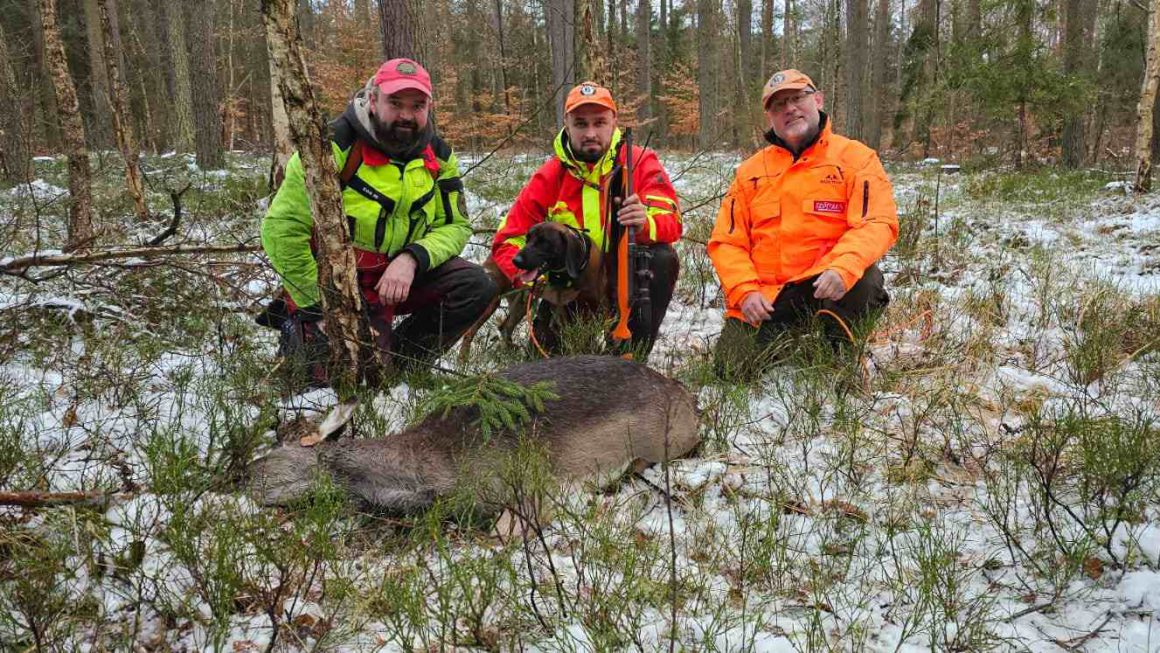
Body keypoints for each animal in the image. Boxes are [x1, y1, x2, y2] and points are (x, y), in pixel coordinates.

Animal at [457, 222, 603, 359]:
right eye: (527, 239)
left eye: (544, 242)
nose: (515, 260)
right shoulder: (563, 313)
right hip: (494, 299)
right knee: (470, 332)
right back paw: (463, 359)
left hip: (522, 301)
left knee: (505, 327)